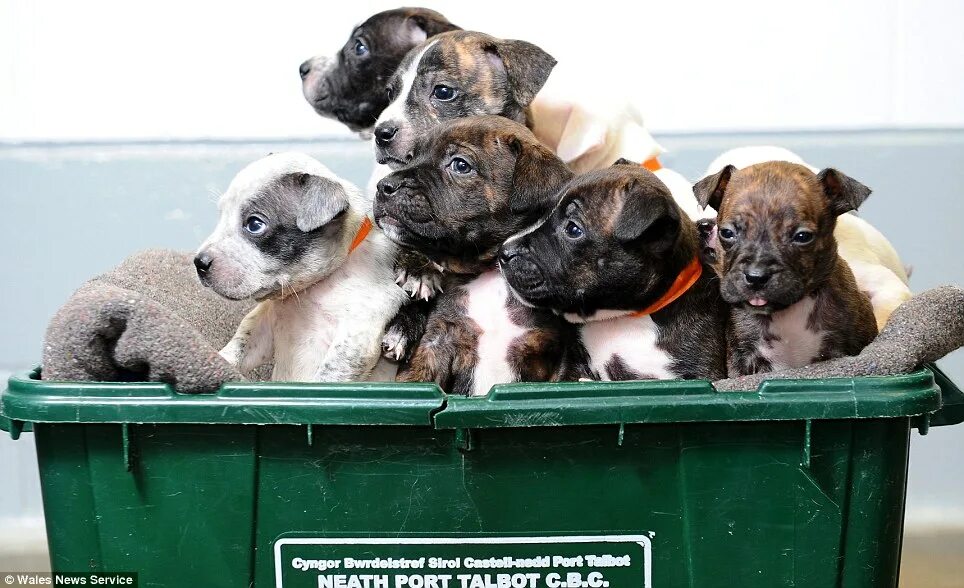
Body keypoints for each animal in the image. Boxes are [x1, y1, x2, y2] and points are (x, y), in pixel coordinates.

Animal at [196, 152, 406, 382]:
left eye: (254, 225)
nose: (199, 262)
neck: (312, 290)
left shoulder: (355, 338)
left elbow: (328, 375)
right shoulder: (262, 328)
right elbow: (240, 345)